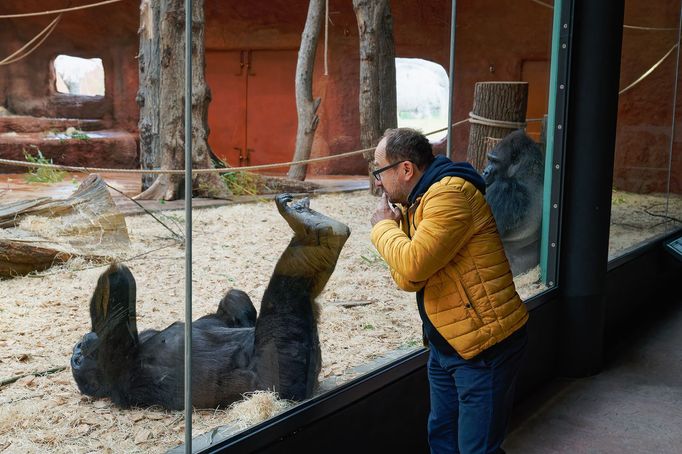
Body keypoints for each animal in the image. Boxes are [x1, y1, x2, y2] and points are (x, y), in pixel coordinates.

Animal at [70, 193, 350, 410]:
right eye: (77, 359)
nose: (77, 349)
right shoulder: (115, 370)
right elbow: (115, 323)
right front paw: (113, 276)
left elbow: (222, 312)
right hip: (282, 360)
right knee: (286, 298)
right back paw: (317, 237)